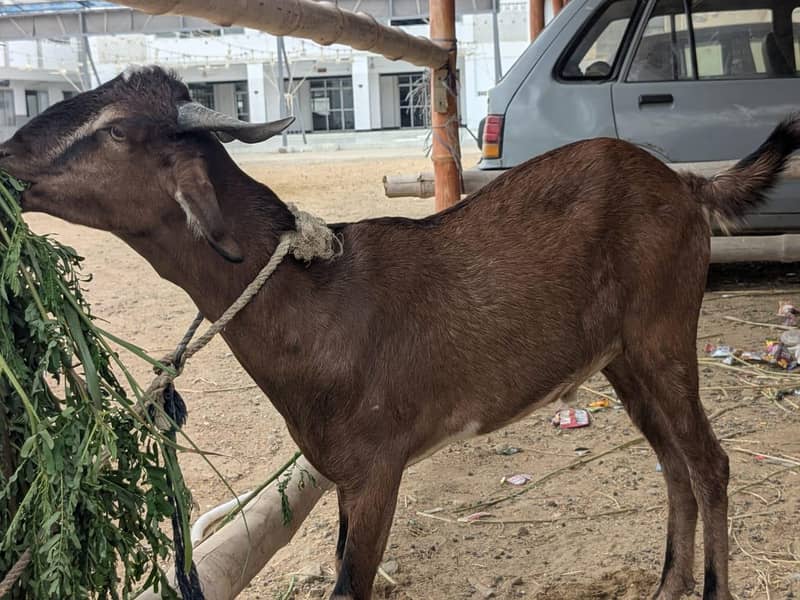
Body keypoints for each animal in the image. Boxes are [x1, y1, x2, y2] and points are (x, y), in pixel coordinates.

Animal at [2, 66, 797, 600]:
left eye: (114, 131)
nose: (7, 161)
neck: (316, 301)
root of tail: (687, 186)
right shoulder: (343, 478)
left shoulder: (378, 469)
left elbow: (350, 586)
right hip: (621, 358)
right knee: (673, 465)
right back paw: (666, 587)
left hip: (664, 331)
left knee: (709, 463)